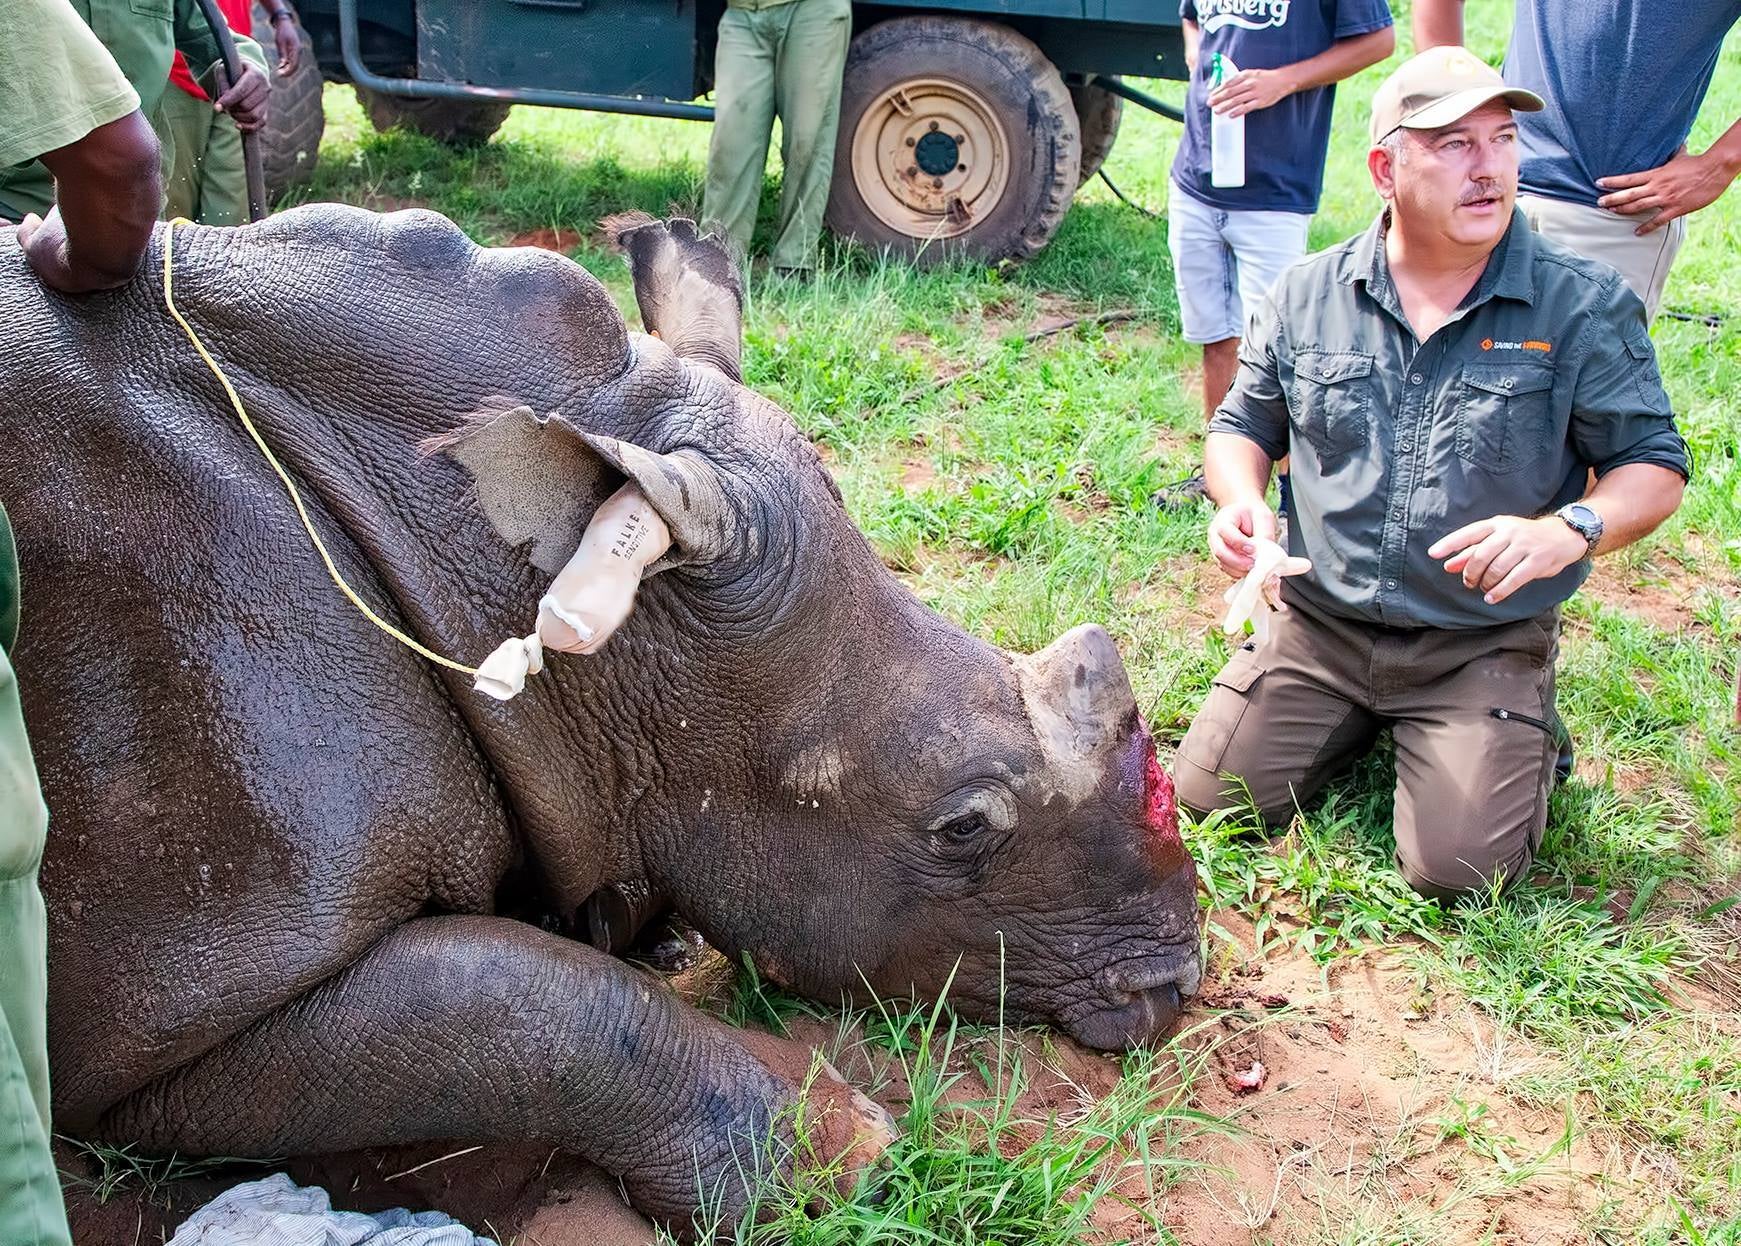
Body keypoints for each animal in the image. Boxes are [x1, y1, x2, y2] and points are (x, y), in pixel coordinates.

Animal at [0, 207, 1197, 1225]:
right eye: (961, 827)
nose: (1173, 988)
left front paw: (644, 928)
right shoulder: (180, 1008)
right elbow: (534, 1008)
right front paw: (838, 1159)